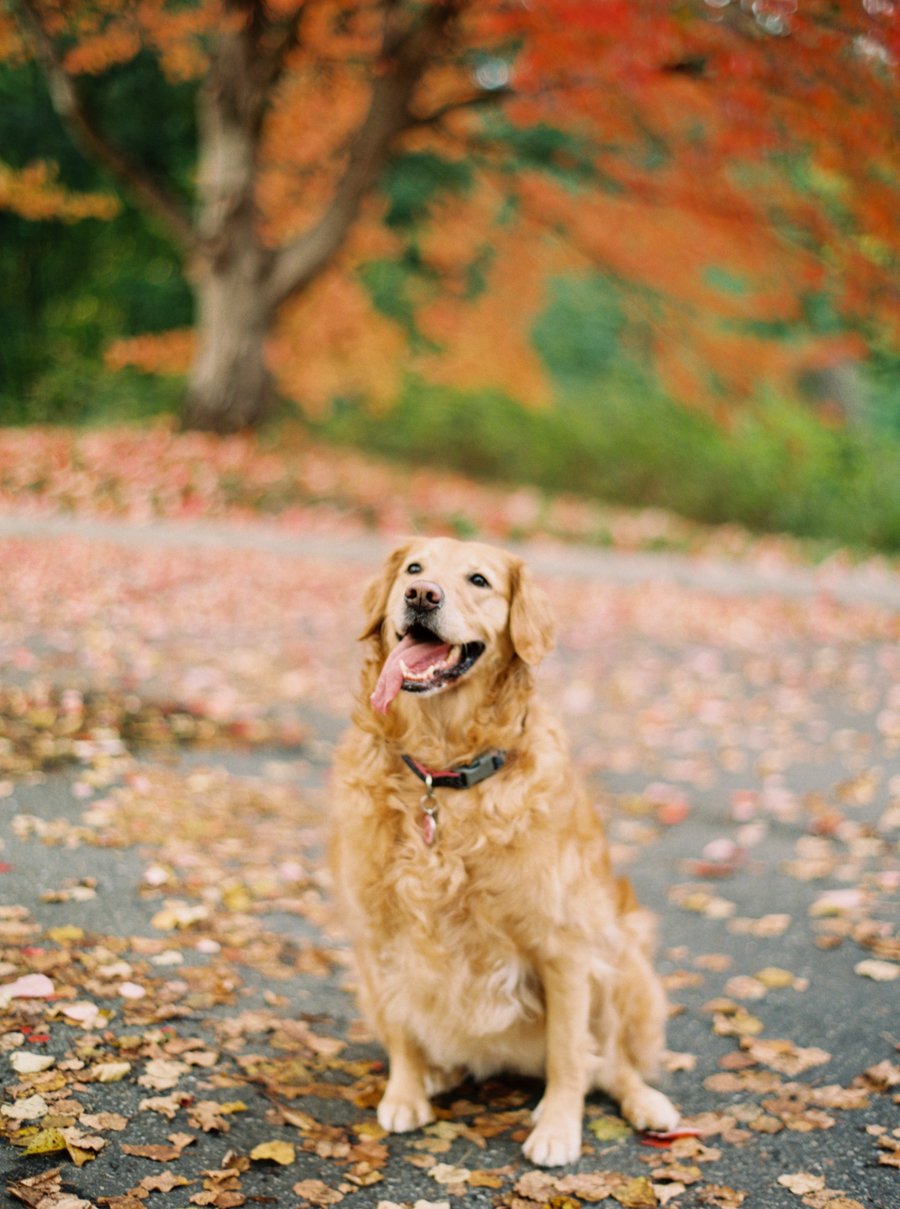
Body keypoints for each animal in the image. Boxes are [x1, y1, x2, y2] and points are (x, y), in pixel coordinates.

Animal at [333, 536, 677, 1160]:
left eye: (479, 580)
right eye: (414, 569)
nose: (421, 596)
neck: (441, 774)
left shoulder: (566, 945)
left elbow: (568, 1053)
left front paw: (558, 1129)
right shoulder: (376, 934)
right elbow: (401, 1028)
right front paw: (405, 1092)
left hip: (622, 954)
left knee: (611, 1062)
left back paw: (646, 1103)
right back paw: (437, 1074)